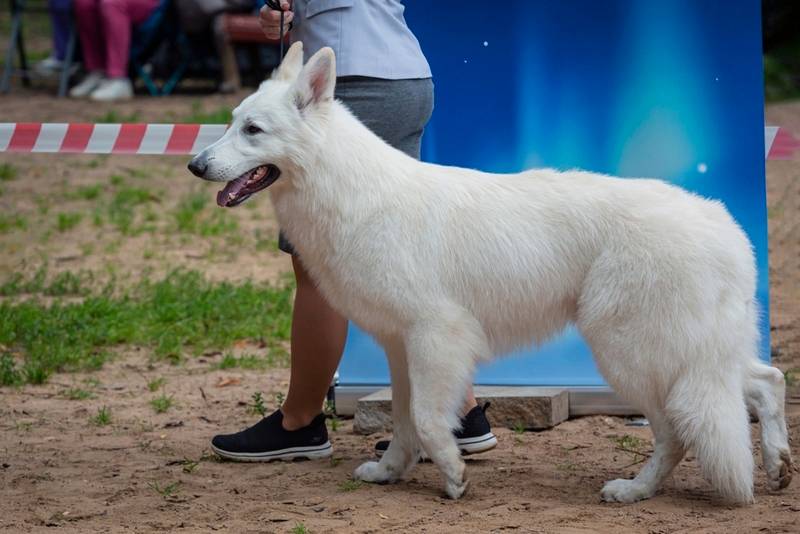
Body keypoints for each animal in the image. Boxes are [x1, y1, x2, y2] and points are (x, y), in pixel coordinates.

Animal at [189, 44, 792, 504]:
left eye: (253, 130)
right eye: (231, 123)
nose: (196, 165)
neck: (351, 191)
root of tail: (722, 228)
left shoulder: (437, 336)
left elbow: (428, 419)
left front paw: (452, 476)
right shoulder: (399, 346)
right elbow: (404, 421)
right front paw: (390, 472)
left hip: (633, 355)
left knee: (676, 434)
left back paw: (634, 490)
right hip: (696, 356)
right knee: (767, 381)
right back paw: (778, 465)